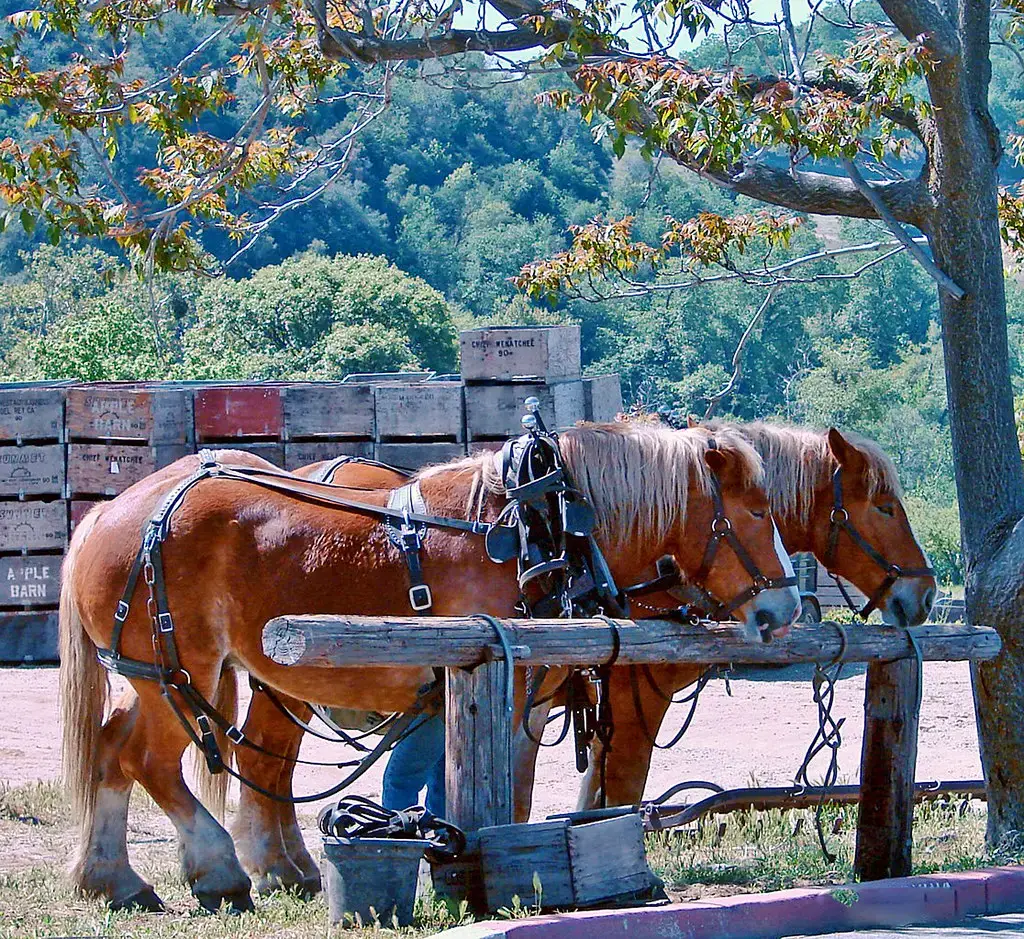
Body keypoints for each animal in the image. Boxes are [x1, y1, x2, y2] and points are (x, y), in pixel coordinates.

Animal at [59, 422, 801, 912]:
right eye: (756, 510)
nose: (787, 604)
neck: (534, 530)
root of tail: (106, 515)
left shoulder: (521, 691)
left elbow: (508, 789)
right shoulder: (501, 680)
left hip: (164, 675)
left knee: (114, 750)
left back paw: (113, 878)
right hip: (177, 670)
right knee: (150, 760)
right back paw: (218, 872)